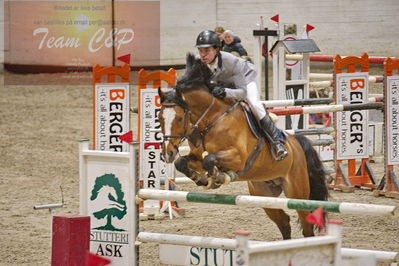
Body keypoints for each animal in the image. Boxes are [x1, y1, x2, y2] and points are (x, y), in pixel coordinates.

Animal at [158, 54, 330, 239]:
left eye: (179, 118)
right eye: (159, 117)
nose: (167, 153)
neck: (213, 119)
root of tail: (296, 143)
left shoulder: (238, 158)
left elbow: (210, 159)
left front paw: (218, 177)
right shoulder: (196, 156)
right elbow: (183, 163)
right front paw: (201, 179)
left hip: (297, 192)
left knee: (306, 226)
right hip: (263, 193)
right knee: (284, 222)